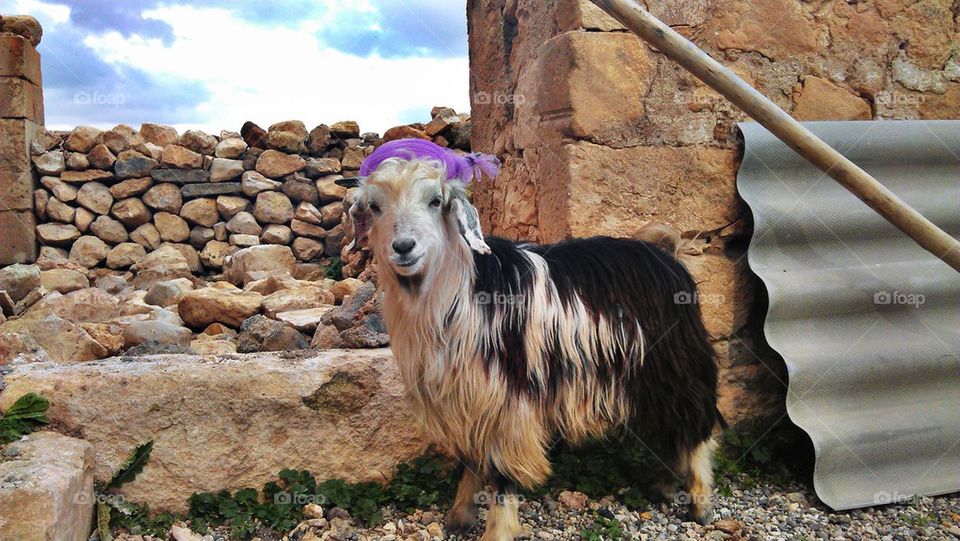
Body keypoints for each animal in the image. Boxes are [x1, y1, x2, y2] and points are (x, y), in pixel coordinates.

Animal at [345, 148, 722, 541]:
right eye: (374, 206)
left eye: (436, 200)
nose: (404, 247)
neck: (460, 288)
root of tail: (665, 254)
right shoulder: (464, 393)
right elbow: (469, 457)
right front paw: (459, 515)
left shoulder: (508, 398)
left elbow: (501, 471)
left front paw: (497, 530)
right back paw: (664, 484)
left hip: (676, 362)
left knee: (696, 423)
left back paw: (700, 502)